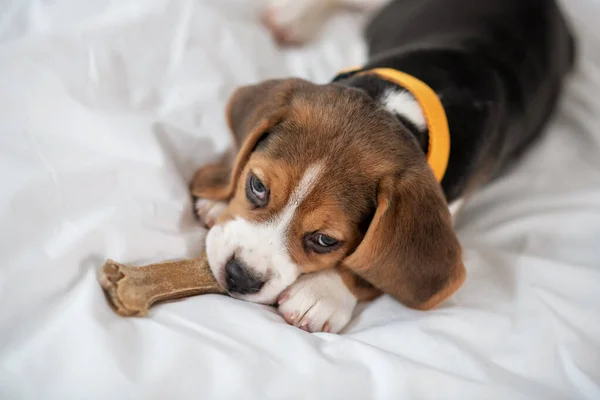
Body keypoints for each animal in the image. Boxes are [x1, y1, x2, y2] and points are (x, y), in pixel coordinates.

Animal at [190, 0, 576, 332]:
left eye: (325, 240)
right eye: (257, 186)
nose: (240, 276)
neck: (399, 109)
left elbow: (369, 260)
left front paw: (322, 293)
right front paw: (220, 198)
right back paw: (291, 18)